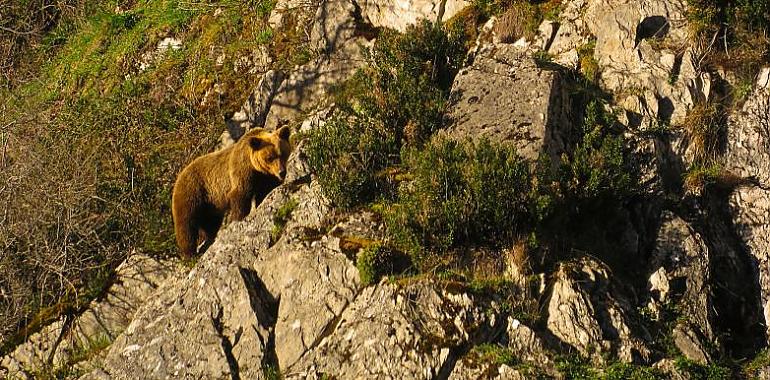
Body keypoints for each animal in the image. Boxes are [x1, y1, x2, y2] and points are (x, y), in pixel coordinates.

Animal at [172, 126, 292, 260]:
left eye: (282, 153)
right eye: (270, 158)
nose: (281, 172)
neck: (257, 170)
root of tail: (179, 175)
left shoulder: (266, 178)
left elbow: (265, 193)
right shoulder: (242, 173)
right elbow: (240, 197)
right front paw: (238, 219)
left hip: (209, 204)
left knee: (210, 222)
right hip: (192, 192)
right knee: (186, 224)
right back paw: (190, 254)